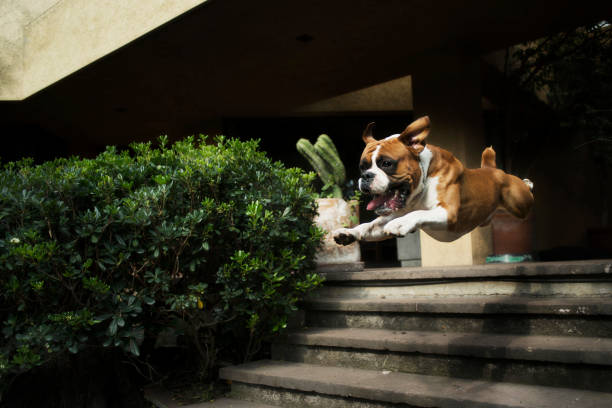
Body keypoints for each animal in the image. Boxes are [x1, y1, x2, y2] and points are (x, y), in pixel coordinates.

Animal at [332, 116, 532, 247]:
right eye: (362, 167)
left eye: (387, 164)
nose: (366, 176)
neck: (423, 181)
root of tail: (492, 169)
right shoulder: (387, 219)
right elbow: (370, 225)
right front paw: (349, 232)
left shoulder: (448, 212)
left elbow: (418, 213)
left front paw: (400, 223)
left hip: (520, 204)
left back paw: (528, 182)